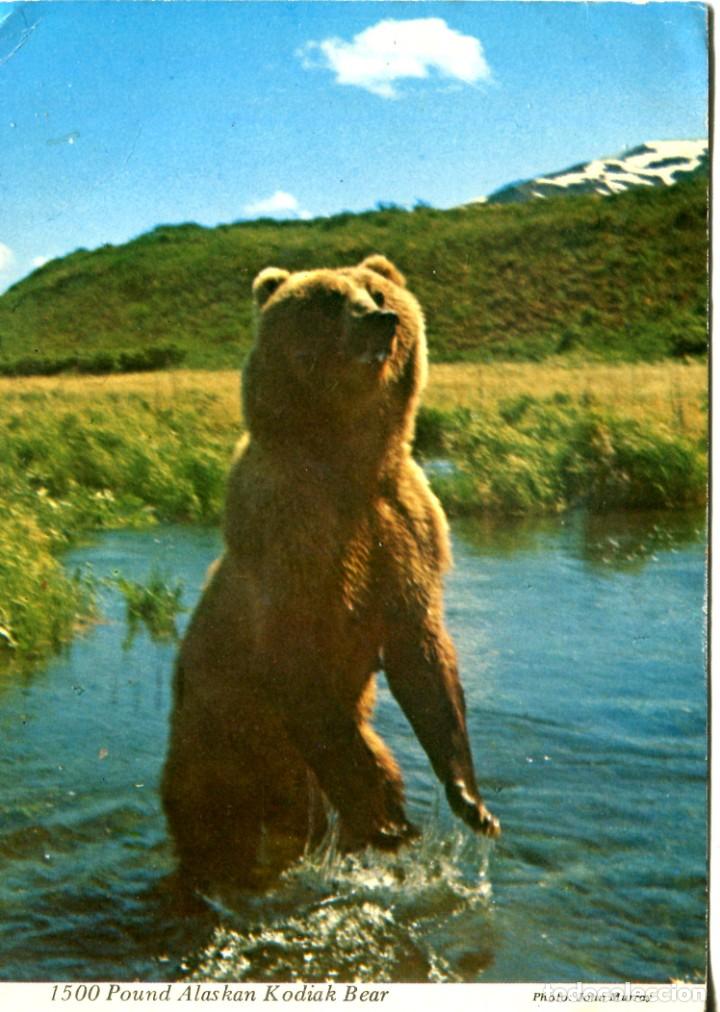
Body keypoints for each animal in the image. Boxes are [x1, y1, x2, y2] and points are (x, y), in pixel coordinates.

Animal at [161, 254, 500, 892]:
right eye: (326, 300)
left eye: (377, 292)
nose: (379, 321)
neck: (346, 460)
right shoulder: (292, 535)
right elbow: (299, 660)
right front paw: (390, 821)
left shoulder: (405, 530)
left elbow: (423, 658)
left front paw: (471, 802)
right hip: (212, 745)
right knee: (211, 821)